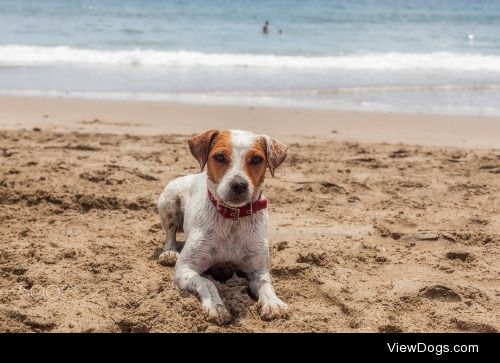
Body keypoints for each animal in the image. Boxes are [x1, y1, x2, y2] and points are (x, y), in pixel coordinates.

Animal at [156, 129, 290, 326]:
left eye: (256, 159)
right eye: (219, 156)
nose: (238, 185)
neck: (233, 217)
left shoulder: (258, 269)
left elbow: (266, 284)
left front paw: (274, 303)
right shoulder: (185, 268)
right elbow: (207, 282)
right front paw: (216, 307)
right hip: (169, 201)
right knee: (170, 233)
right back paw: (170, 253)